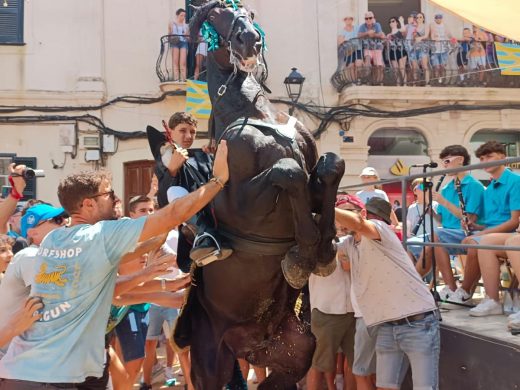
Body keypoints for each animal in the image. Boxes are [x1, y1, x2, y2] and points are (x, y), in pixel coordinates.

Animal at [174, 1, 346, 388]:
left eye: (248, 12)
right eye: (215, 14)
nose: (248, 39)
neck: (253, 112)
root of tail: (249, 345)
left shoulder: (314, 177)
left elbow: (331, 166)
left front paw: (324, 248)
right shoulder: (243, 203)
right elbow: (288, 170)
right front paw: (304, 253)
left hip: (294, 351)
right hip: (209, 360)